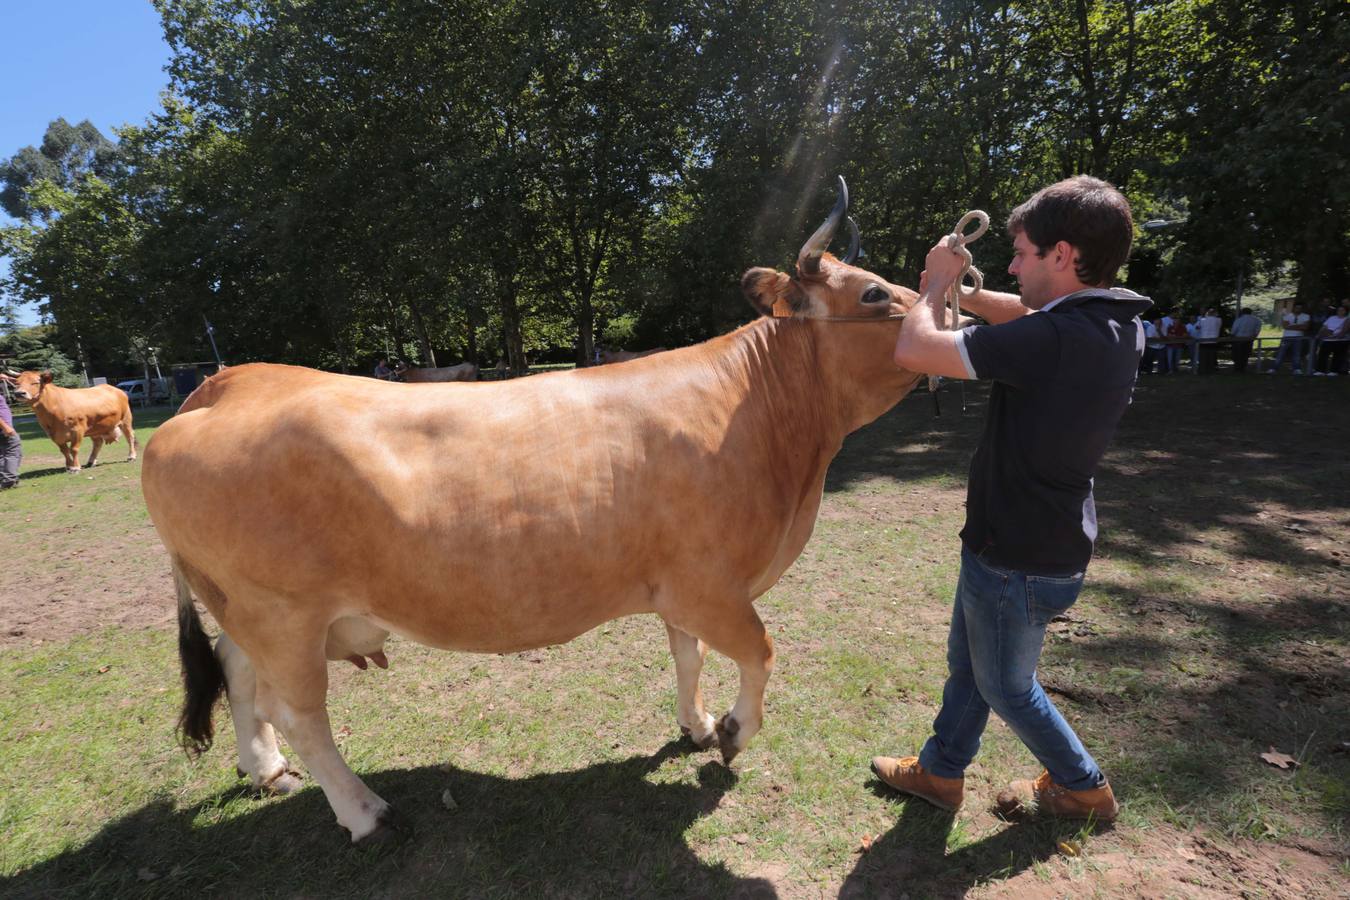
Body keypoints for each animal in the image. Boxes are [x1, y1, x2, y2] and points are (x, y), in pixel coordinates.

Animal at [9, 372, 137, 474]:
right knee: (98, 443)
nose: (19, 393)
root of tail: (115, 388)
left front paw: (75, 467)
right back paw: (91, 461)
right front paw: (69, 466)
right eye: (17, 383)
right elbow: (64, 451)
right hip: (95, 428)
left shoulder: (77, 430)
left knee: (129, 437)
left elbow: (73, 449)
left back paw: (131, 456)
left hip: (126, 419)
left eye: (35, 382)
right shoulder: (53, 434)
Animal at [145, 178, 928, 847]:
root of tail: (223, 384)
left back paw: (266, 769)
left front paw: (699, 725)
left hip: (247, 609)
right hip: (283, 613)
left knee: (237, 672)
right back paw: (365, 812)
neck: (768, 424)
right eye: (873, 292)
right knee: (299, 712)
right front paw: (734, 732)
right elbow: (760, 654)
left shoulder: (678, 586)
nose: (944, 307)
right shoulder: (713, 585)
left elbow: (690, 656)